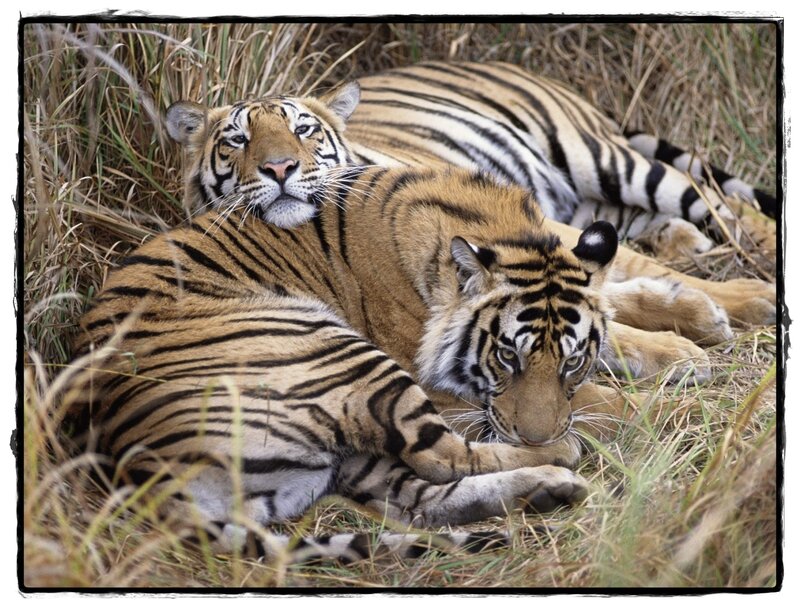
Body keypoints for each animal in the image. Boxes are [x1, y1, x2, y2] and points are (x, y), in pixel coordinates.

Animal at [346, 61, 777, 264]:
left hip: (596, 157)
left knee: (713, 197)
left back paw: (764, 252)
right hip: (587, 201)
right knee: (640, 216)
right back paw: (687, 242)